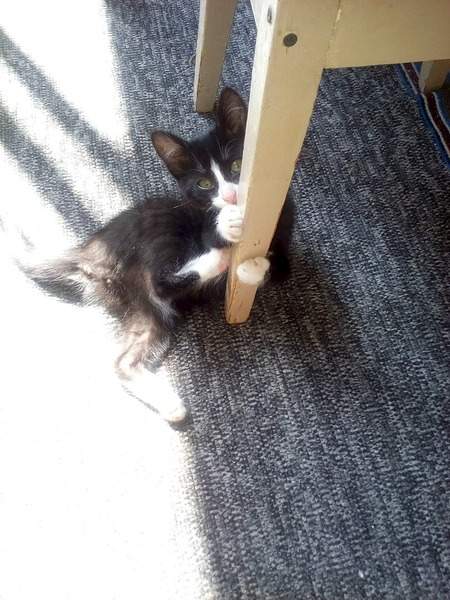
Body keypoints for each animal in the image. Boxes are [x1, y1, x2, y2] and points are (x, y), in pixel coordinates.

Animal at [28, 88, 293, 423]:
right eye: (204, 184)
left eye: (237, 166)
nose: (231, 196)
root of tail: (90, 251)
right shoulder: (199, 224)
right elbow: (215, 235)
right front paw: (230, 230)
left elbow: (281, 265)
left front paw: (253, 267)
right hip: (160, 230)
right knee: (161, 280)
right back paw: (218, 260)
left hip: (146, 310)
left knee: (125, 357)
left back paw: (168, 403)